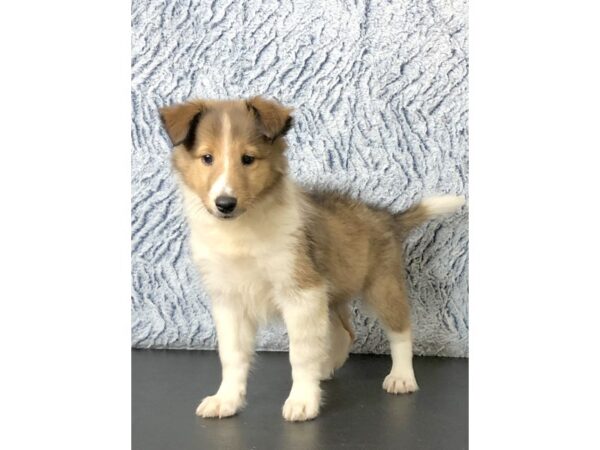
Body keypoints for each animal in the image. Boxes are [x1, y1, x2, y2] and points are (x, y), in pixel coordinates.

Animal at [158, 96, 464, 422]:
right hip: (332, 296)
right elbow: (232, 355)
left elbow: (300, 353)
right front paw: (226, 400)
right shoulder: (229, 300)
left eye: (248, 159)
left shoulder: (302, 292)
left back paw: (402, 377)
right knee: (344, 333)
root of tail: (387, 217)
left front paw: (303, 400)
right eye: (207, 158)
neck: (241, 231)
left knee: (400, 330)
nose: (225, 204)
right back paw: (325, 368)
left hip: (382, 286)